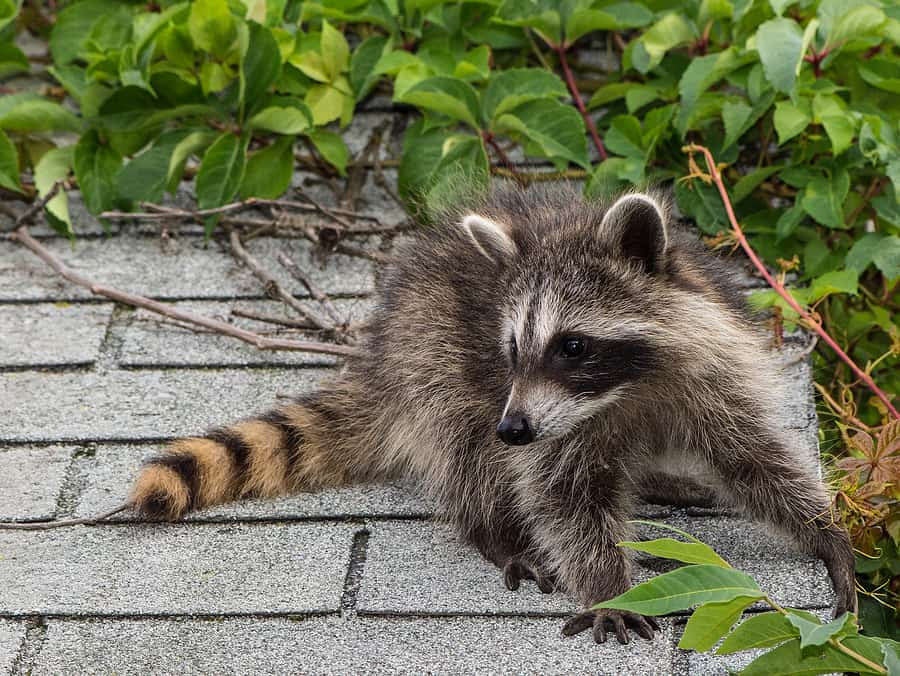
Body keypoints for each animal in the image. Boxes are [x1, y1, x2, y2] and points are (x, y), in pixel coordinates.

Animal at [130, 185, 856, 644]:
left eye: (572, 346)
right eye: (512, 348)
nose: (515, 428)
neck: (624, 391)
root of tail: (381, 349)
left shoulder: (710, 372)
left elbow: (753, 456)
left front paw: (822, 531)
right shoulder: (535, 414)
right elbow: (564, 498)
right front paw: (605, 585)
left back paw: (657, 479)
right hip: (433, 355)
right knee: (465, 447)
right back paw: (495, 529)